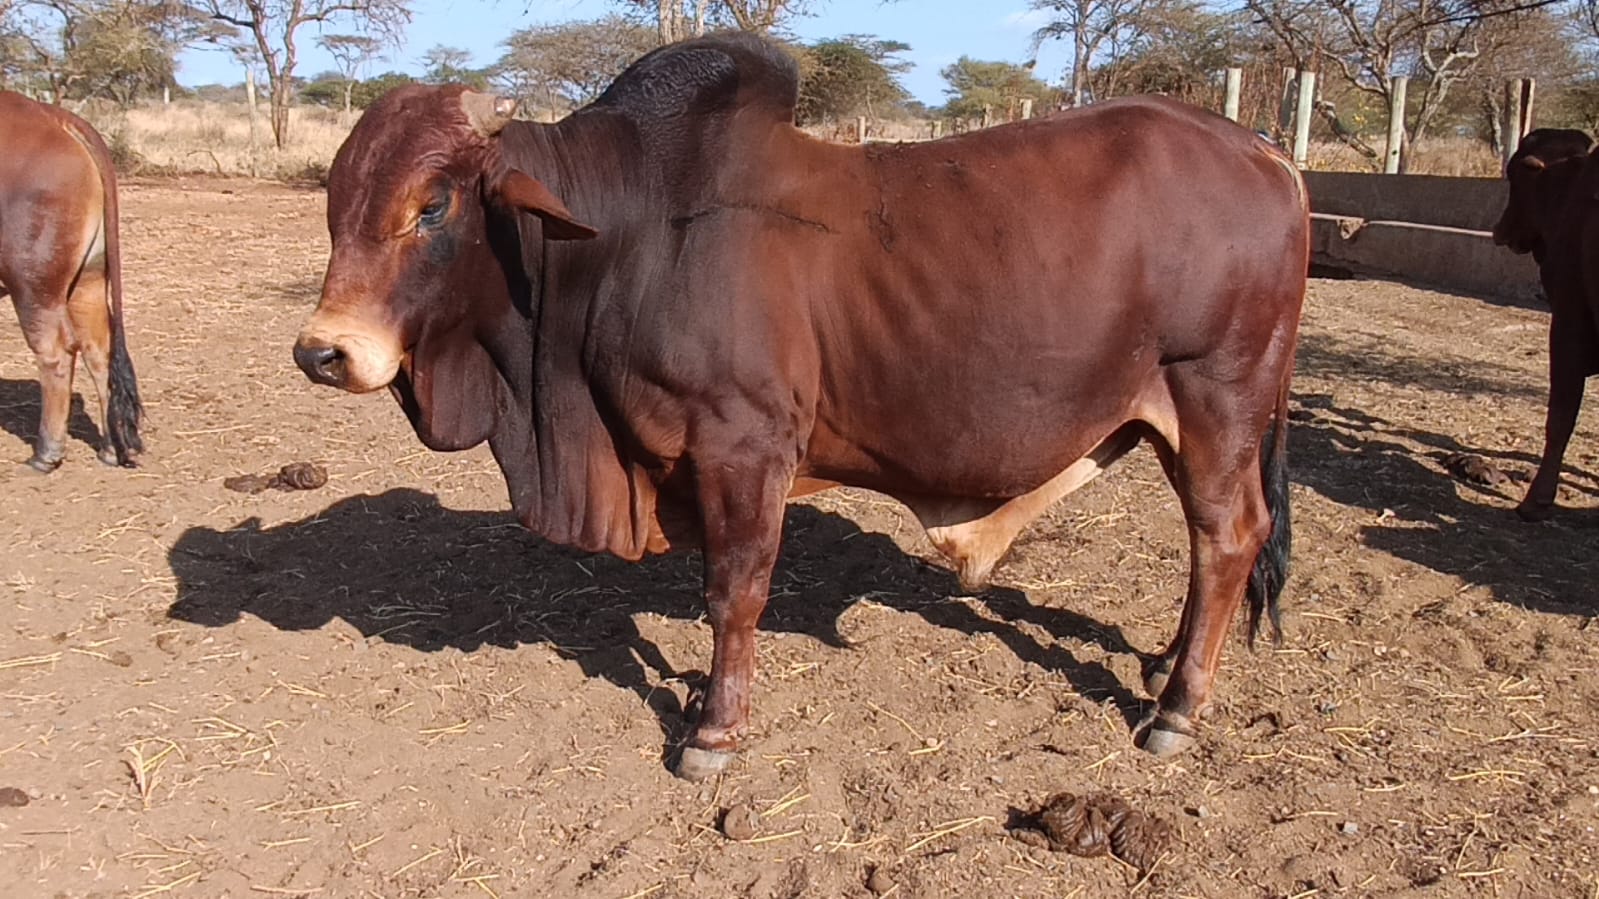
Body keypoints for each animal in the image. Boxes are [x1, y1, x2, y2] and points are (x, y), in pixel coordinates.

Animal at [0, 90, 143, 471]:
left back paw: (46, 453)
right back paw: (110, 449)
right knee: (99, 349)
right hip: (88, 278)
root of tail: (55, 118)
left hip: (33, 285)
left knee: (56, 351)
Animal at [292, 33, 1308, 780]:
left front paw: (711, 732)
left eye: (432, 205)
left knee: (1227, 535)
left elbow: (732, 592)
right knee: (1213, 543)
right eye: (337, 199)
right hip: (1177, 415)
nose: (322, 351)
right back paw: (1168, 665)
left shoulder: (742, 446)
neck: (623, 237)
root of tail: (1261, 151)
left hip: (1215, 395)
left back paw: (1176, 709)